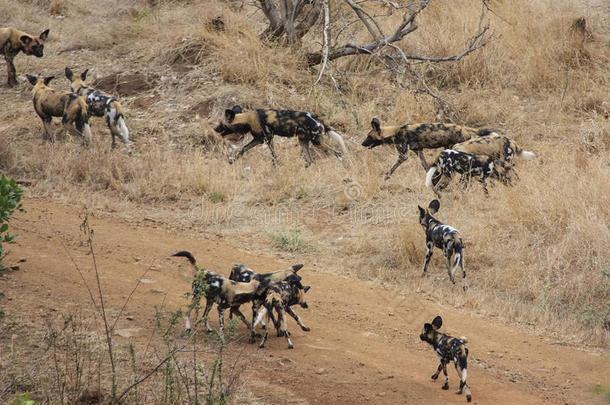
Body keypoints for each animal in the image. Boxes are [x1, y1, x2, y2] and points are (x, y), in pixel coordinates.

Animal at [360, 117, 494, 179]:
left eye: (369, 136)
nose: (362, 143)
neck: (395, 132)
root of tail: (464, 128)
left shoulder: (403, 155)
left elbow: (392, 167)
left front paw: (386, 177)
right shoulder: (419, 152)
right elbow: (426, 166)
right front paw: (434, 177)